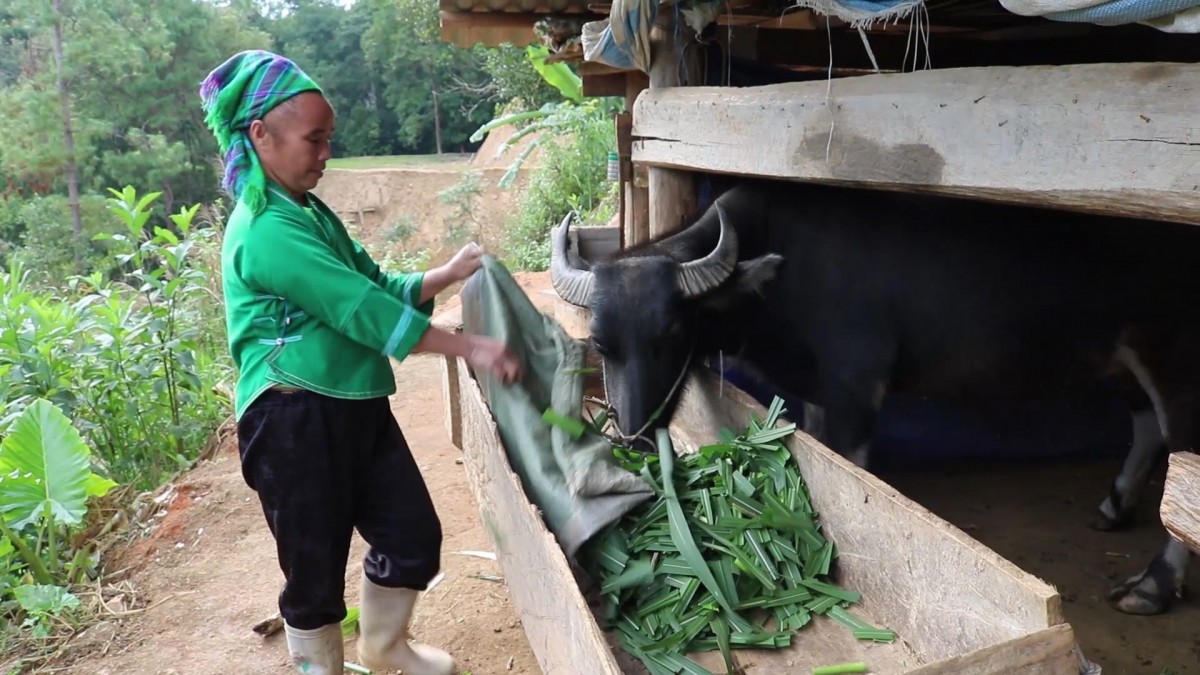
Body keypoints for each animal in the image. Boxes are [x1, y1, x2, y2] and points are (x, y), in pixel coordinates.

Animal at [549, 174, 1200, 614]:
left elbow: (854, 480)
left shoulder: (856, 393)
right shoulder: (818, 394)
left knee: (1182, 459)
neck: (779, 269)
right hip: (1120, 359)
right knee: (1148, 428)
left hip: (1174, 357)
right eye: (602, 343)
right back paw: (1115, 506)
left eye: (672, 334)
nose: (633, 434)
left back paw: (1152, 584)